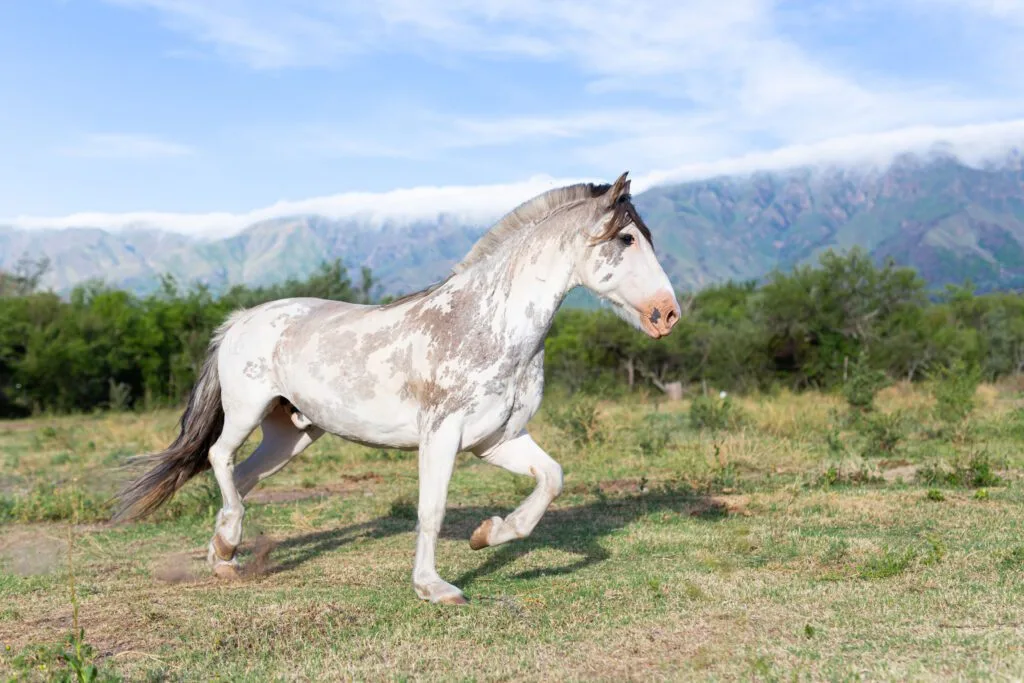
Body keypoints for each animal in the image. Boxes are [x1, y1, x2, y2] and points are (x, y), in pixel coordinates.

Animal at [113, 172, 681, 604]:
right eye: (627, 239)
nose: (668, 314)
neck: (486, 324)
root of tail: (240, 319)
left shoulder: (496, 440)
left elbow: (551, 479)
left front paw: (487, 535)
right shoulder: (442, 435)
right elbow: (431, 509)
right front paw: (435, 588)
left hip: (290, 434)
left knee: (244, 474)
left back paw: (224, 556)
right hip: (247, 409)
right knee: (220, 457)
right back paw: (228, 539)